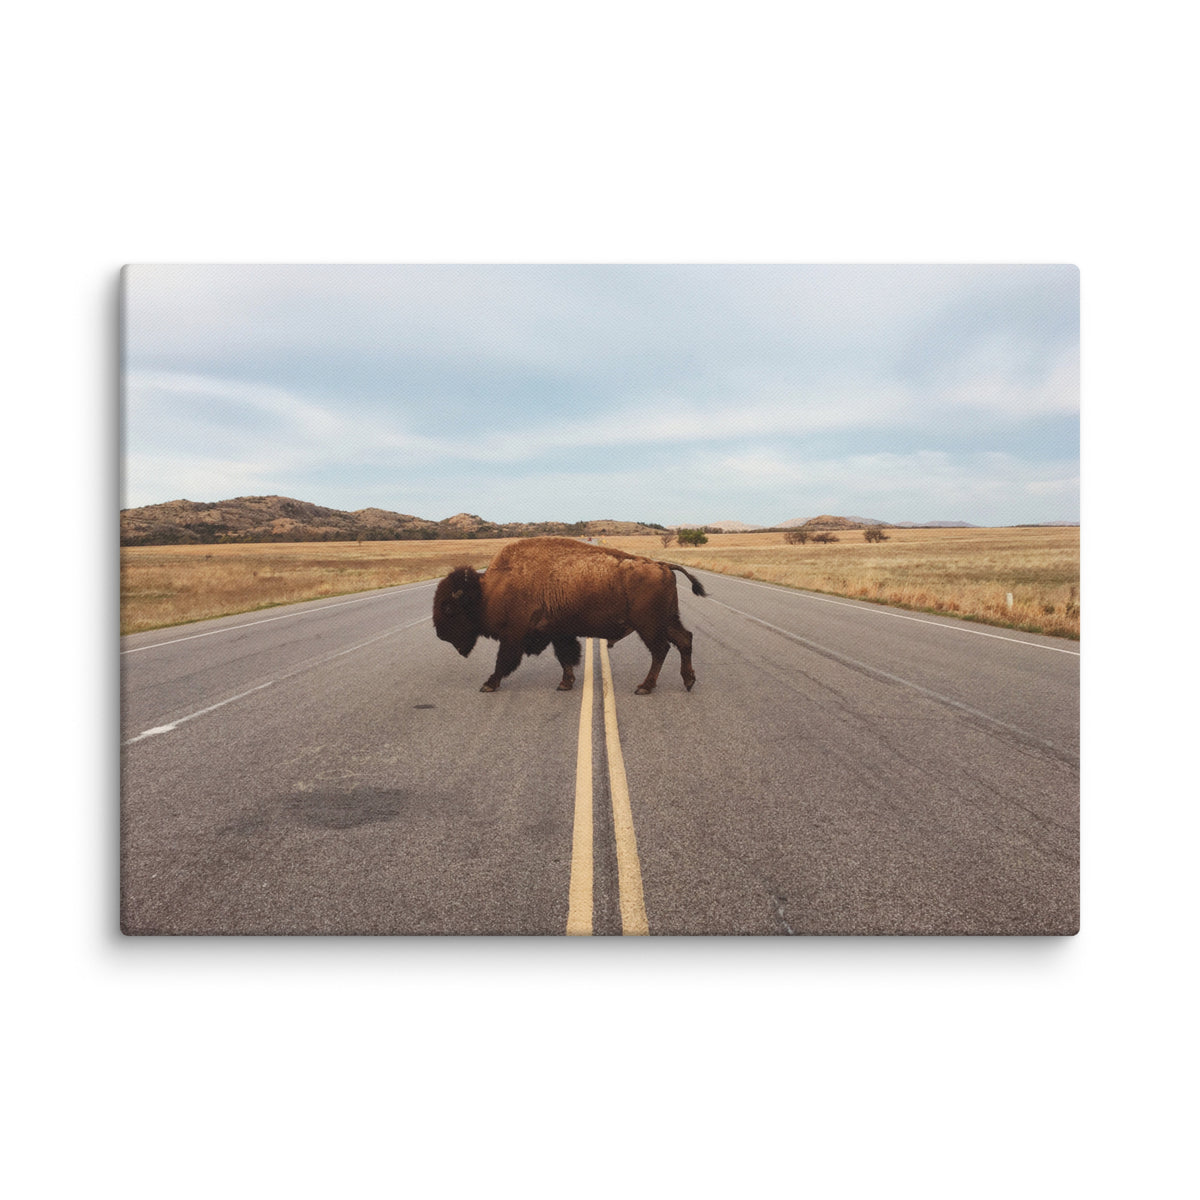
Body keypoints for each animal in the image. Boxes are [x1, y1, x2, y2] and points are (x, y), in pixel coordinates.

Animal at [432, 537, 707, 694]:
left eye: (448, 608)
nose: (440, 634)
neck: (489, 590)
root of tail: (662, 565)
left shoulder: (514, 635)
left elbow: (503, 661)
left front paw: (488, 684)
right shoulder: (558, 633)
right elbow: (565, 657)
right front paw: (565, 684)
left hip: (649, 626)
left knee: (661, 650)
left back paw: (645, 687)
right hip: (667, 621)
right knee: (684, 640)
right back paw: (688, 681)